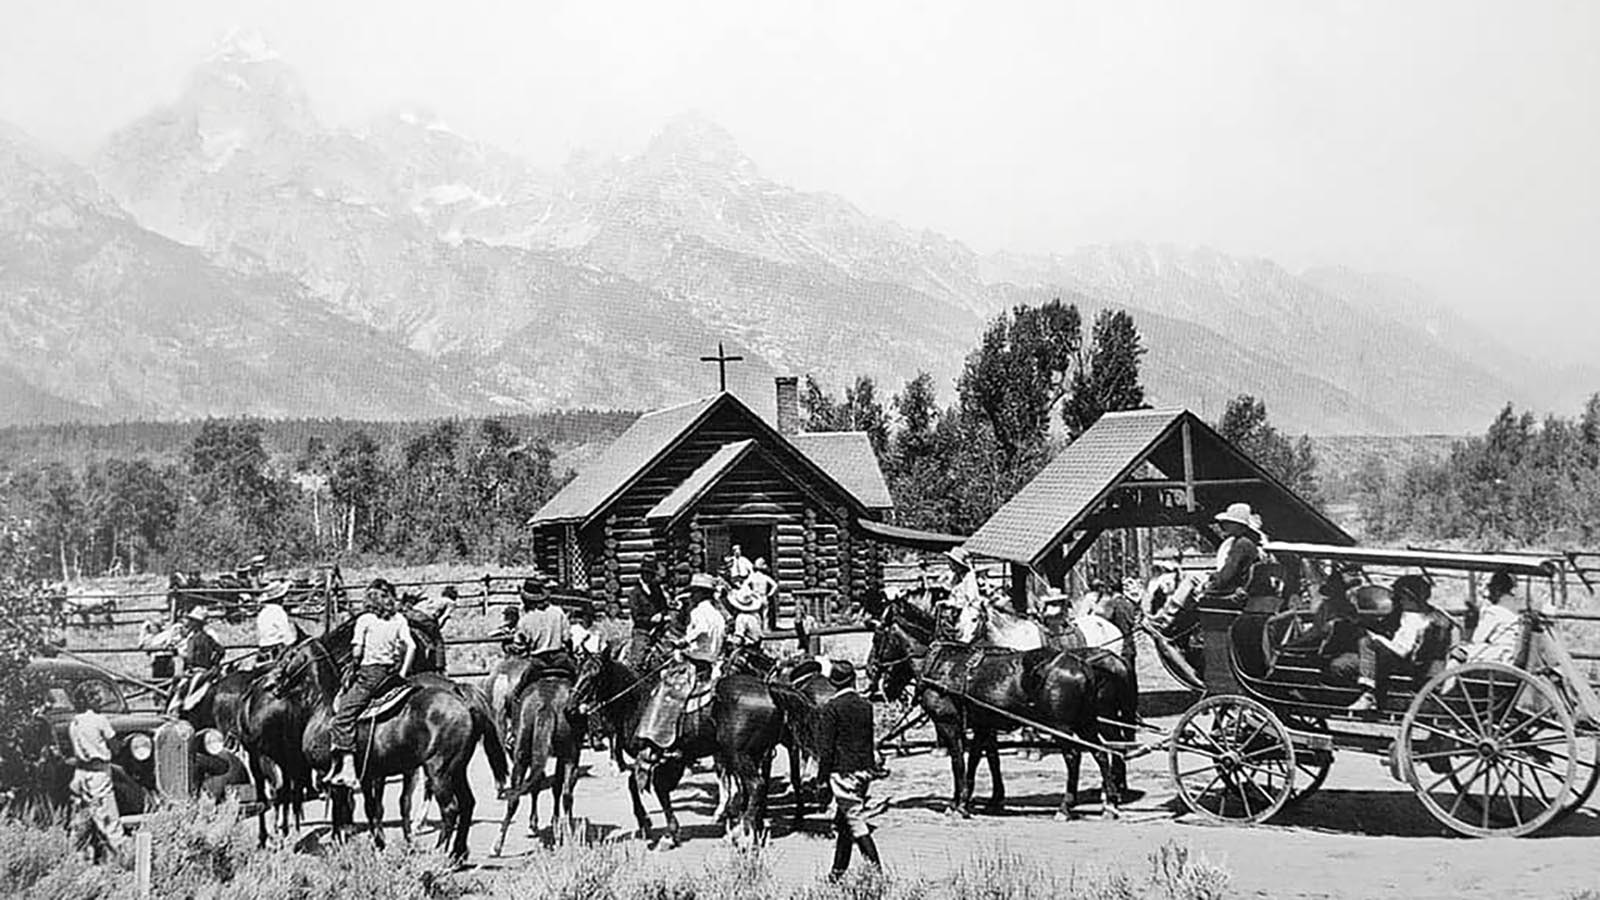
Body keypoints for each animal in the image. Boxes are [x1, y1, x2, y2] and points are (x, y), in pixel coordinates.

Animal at [270, 634, 480, 858]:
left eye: (288, 655)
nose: (274, 684)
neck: (324, 708)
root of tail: (461, 700)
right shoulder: (369, 775)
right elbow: (372, 808)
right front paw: (378, 843)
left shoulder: (334, 774)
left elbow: (340, 810)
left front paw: (339, 842)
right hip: (457, 769)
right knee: (467, 803)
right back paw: (457, 854)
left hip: (439, 770)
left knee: (450, 809)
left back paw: (439, 852)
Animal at [572, 640, 784, 845]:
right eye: (580, 670)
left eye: (596, 674)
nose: (572, 704)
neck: (637, 704)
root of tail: (768, 691)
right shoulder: (667, 759)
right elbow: (647, 786)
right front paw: (659, 828)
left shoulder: (655, 756)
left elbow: (648, 787)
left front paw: (656, 827)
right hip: (753, 754)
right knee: (751, 788)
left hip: (739, 755)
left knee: (756, 785)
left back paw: (743, 833)